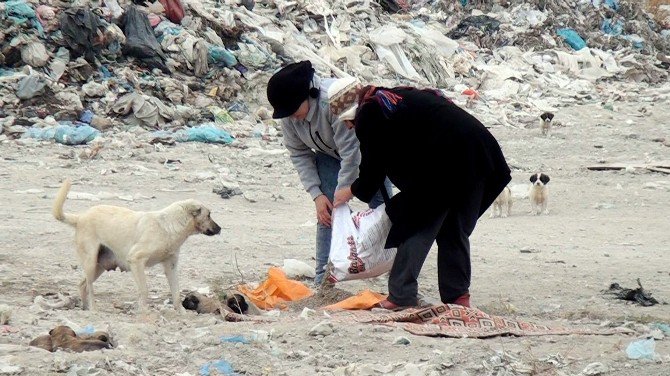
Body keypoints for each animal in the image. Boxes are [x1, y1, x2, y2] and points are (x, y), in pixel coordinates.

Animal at [51, 179, 223, 312]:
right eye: (208, 215)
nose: (220, 229)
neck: (168, 226)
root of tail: (80, 217)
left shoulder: (171, 266)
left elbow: (176, 293)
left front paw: (182, 314)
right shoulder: (136, 260)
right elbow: (144, 290)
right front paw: (144, 312)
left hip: (98, 266)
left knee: (83, 285)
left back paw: (86, 308)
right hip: (91, 262)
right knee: (89, 287)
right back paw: (93, 309)